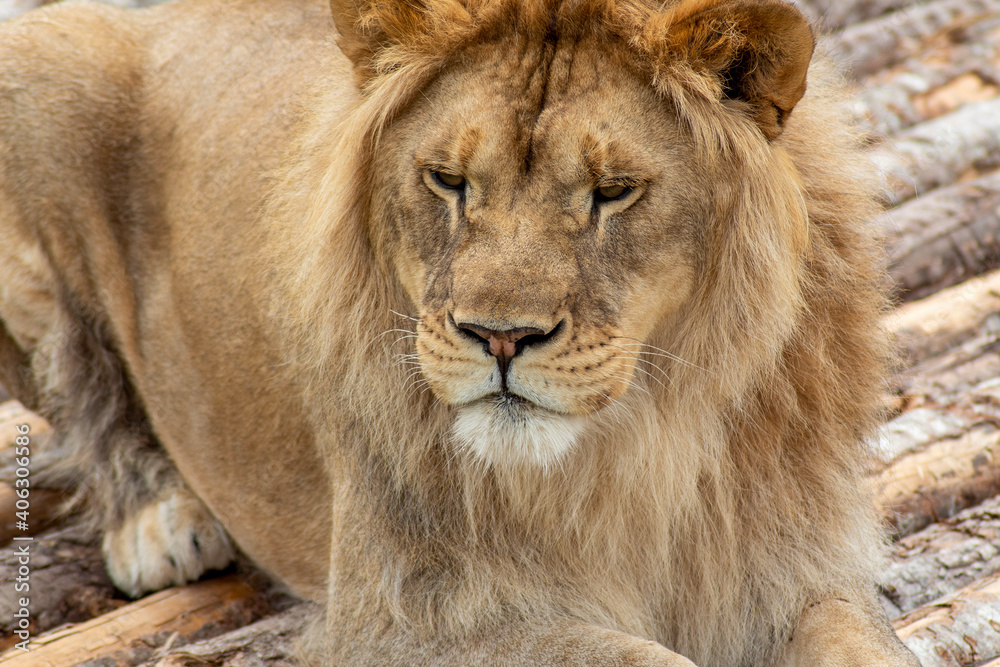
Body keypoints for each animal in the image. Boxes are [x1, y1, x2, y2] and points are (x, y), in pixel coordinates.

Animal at [0, 0, 916, 664]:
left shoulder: (794, 566)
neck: (638, 447)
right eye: (447, 180)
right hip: (41, 66)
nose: (500, 338)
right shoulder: (404, 616)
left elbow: (864, 645)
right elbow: (640, 656)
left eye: (613, 191)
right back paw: (157, 518)